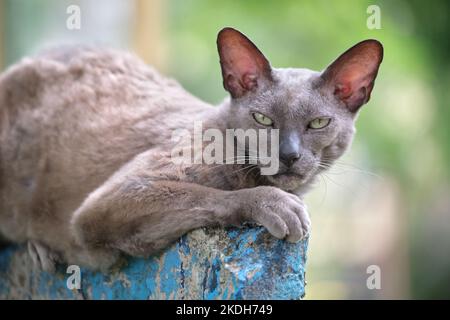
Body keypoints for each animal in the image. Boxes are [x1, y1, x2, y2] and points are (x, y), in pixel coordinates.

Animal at [0, 28, 384, 272]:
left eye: (318, 123)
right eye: (263, 119)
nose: (288, 155)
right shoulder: (104, 204)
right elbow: (207, 194)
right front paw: (278, 206)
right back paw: (40, 250)